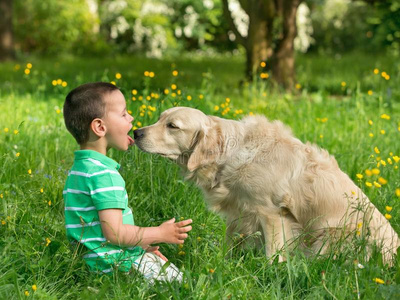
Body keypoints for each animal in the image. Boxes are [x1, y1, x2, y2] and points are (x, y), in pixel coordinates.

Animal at [134, 106, 396, 264]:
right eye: (160, 118)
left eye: (173, 126)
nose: (136, 132)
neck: (235, 152)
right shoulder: (238, 212)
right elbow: (229, 244)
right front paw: (222, 264)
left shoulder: (272, 214)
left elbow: (274, 254)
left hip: (330, 236)